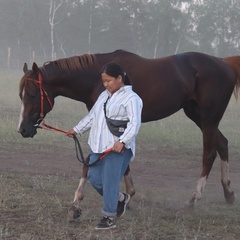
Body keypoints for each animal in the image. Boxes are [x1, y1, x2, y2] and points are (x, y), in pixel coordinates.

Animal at [17, 49, 240, 218]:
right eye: (21, 95)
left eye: (33, 95)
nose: (23, 129)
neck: (95, 77)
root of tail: (225, 64)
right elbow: (120, 157)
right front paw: (127, 196)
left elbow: (91, 159)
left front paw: (76, 203)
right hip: (198, 116)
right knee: (222, 143)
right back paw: (228, 192)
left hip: (208, 120)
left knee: (209, 154)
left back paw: (193, 201)